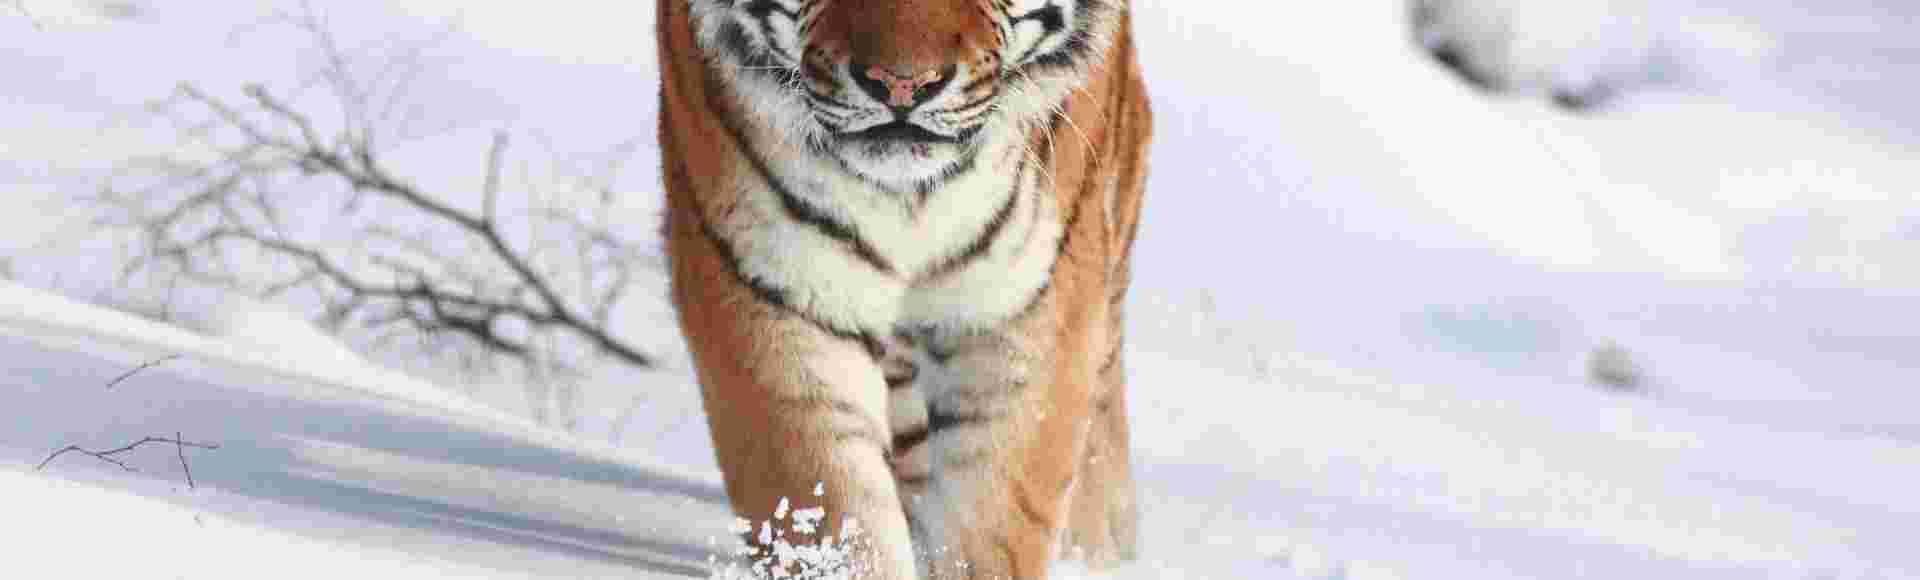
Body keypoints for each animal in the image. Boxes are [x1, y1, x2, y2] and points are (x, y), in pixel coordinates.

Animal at [654, 0, 1151, 577]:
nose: (902, 86)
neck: (912, 200)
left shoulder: (1023, 312)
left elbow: (992, 523)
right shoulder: (776, 291)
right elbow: (831, 512)